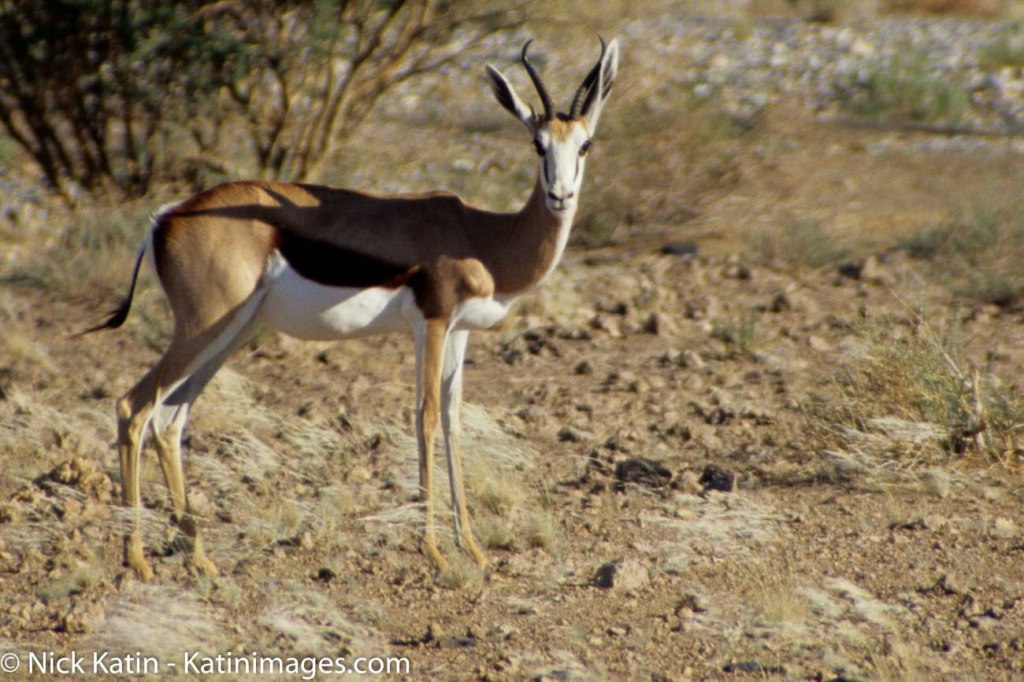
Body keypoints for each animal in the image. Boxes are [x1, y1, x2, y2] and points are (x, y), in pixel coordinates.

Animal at [86, 38, 619, 580]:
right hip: (201, 328)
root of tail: (164, 218)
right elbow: (426, 417)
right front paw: (434, 552)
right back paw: (137, 558)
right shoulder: (431, 323)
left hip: (230, 332)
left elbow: (453, 421)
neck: (484, 237)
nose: (560, 195)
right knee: (133, 407)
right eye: (537, 145)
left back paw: (199, 556)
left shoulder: (458, 332)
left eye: (585, 145)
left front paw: (472, 549)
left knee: (170, 419)